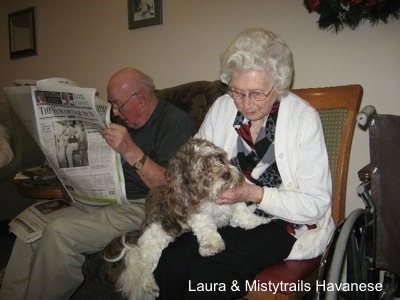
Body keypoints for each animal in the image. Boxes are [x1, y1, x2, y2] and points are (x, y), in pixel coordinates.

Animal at [118, 138, 268, 300]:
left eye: (219, 158)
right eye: (203, 168)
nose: (227, 174)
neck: (211, 197)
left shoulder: (234, 203)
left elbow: (244, 215)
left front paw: (259, 222)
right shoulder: (197, 215)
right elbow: (207, 229)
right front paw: (212, 246)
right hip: (154, 241)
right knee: (145, 268)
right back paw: (150, 284)